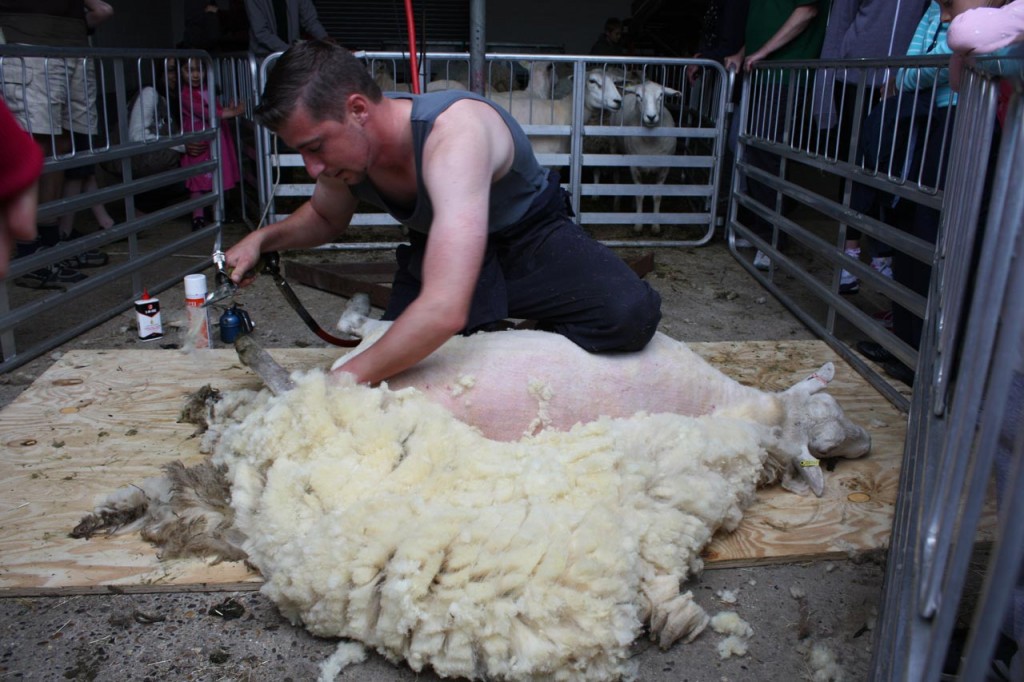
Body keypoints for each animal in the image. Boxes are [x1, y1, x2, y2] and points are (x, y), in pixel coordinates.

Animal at [68, 296, 868, 679]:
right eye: (823, 431)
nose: (861, 443)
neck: (742, 406)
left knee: (291, 387)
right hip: (371, 373)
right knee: (311, 371)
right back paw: (244, 357)